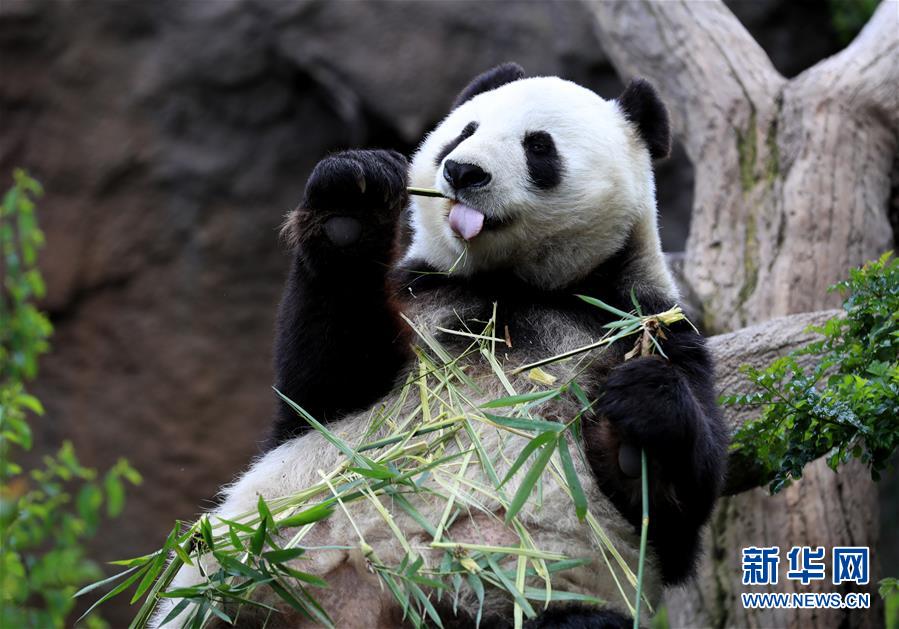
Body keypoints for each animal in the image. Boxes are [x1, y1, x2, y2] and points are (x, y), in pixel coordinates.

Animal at [158, 63, 728, 628]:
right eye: (464, 131)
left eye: (538, 146)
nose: (463, 172)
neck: (511, 286)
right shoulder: (422, 294)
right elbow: (322, 390)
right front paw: (351, 205)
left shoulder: (641, 324)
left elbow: (672, 518)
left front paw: (641, 412)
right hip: (252, 577)